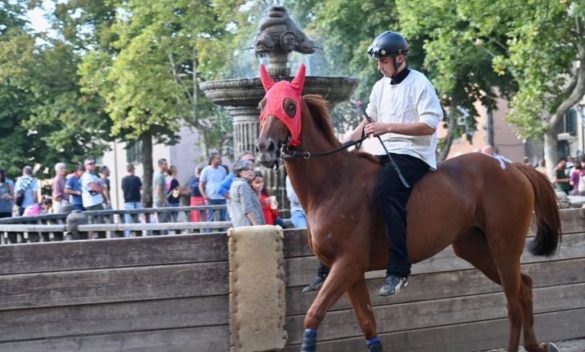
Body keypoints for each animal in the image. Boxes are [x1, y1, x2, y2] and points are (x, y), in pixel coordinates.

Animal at [254, 64, 560, 352]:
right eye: (261, 105)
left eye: (290, 106)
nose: (264, 148)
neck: (333, 183)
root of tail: (511, 166)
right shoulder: (351, 272)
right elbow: (367, 323)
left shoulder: (347, 264)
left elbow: (314, 315)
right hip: (475, 248)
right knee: (525, 286)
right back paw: (538, 345)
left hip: (504, 245)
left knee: (513, 302)